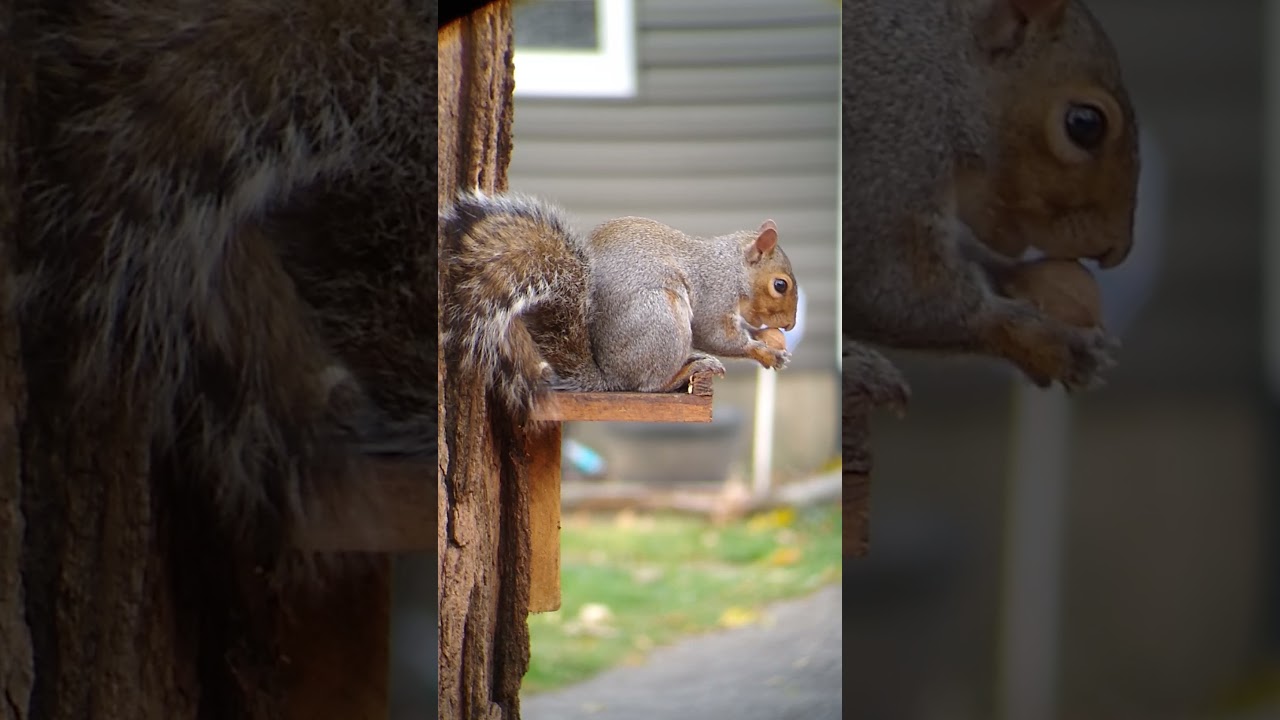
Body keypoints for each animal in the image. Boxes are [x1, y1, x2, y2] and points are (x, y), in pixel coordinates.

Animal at [440, 190, 799, 421]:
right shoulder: (715, 293)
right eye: (780, 285)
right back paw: (689, 368)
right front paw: (765, 352)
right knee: (650, 385)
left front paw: (767, 340)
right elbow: (717, 336)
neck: (734, 268)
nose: (790, 325)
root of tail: (608, 377)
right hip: (663, 318)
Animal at [841, 0, 1140, 398]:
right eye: (1085, 124)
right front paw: (1051, 344)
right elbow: (884, 286)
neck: (945, 67)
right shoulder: (891, 137)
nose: (1115, 252)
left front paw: (1017, 276)